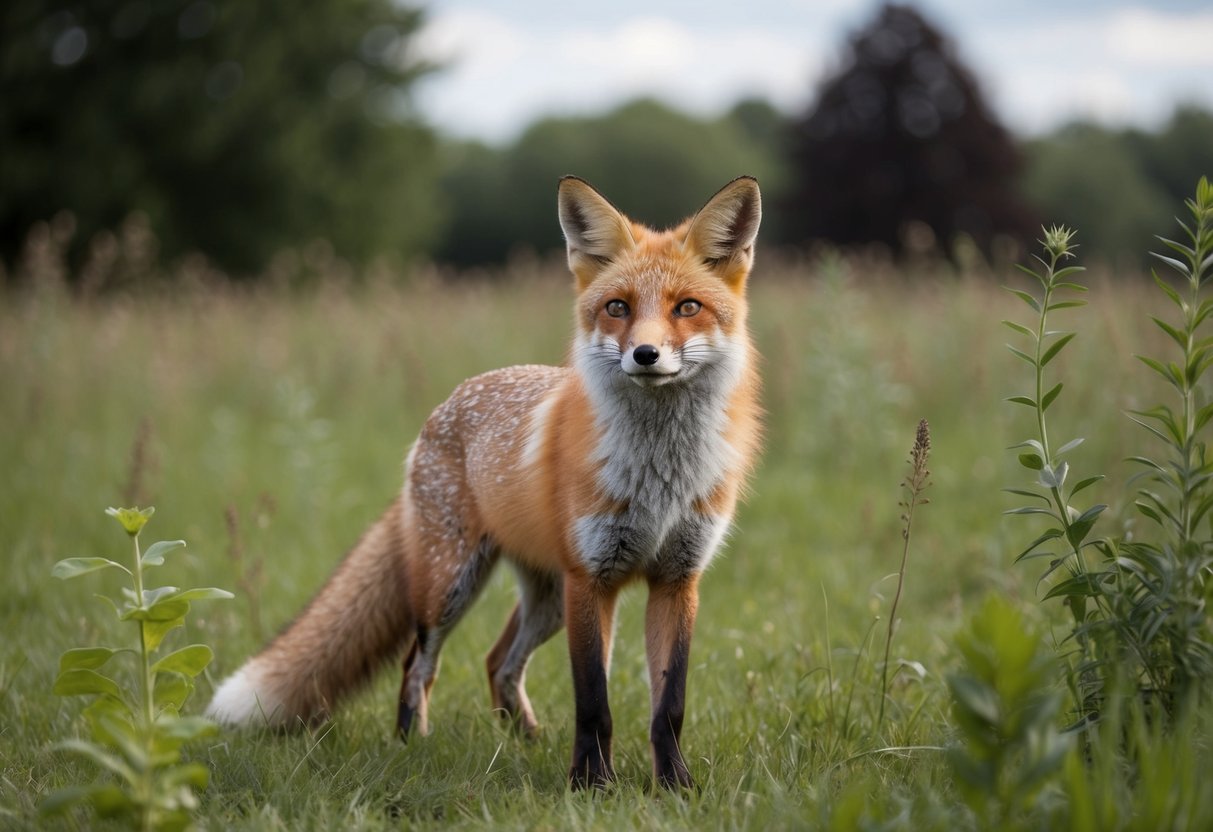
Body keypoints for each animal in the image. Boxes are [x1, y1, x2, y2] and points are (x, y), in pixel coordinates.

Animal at [206, 175, 763, 790]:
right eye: (617, 307)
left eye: (687, 307)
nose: (645, 354)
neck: (658, 477)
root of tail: (443, 408)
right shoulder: (592, 579)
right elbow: (594, 702)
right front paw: (592, 786)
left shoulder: (676, 580)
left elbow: (669, 704)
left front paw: (674, 787)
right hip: (453, 585)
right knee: (418, 665)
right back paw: (412, 746)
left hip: (547, 599)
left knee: (499, 662)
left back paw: (526, 742)